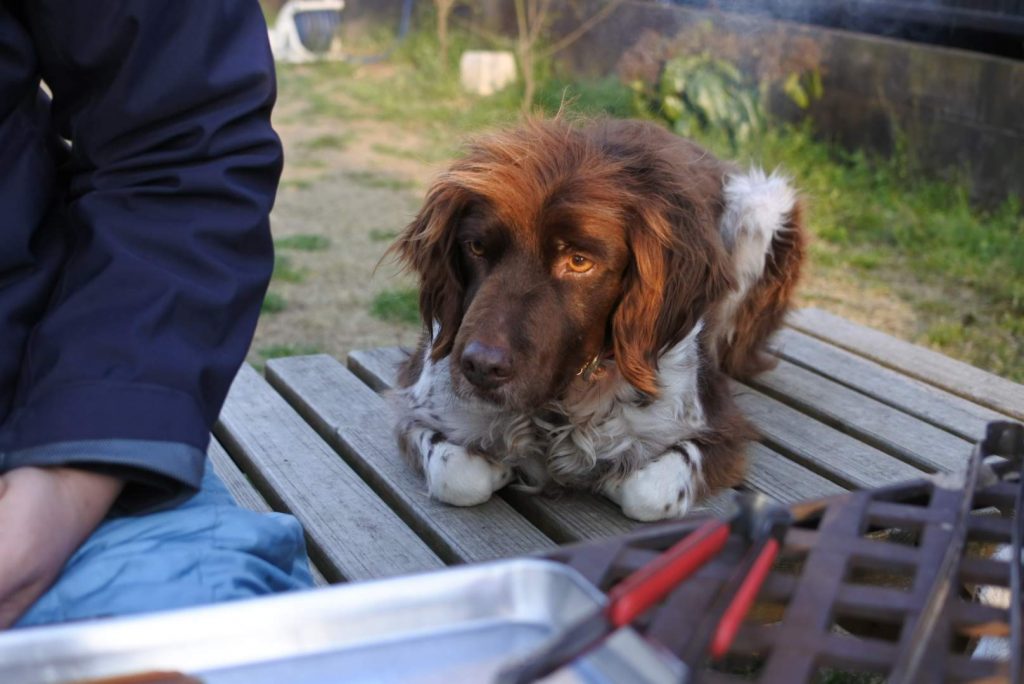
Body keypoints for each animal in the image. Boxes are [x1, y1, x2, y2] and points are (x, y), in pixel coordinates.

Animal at [387, 120, 802, 520]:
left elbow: (647, 492)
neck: (558, 404)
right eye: (475, 247)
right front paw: (499, 468)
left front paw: (612, 480)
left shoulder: (719, 426)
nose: (481, 367)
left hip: (762, 203)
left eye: (579, 261)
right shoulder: (420, 405)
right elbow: (457, 476)